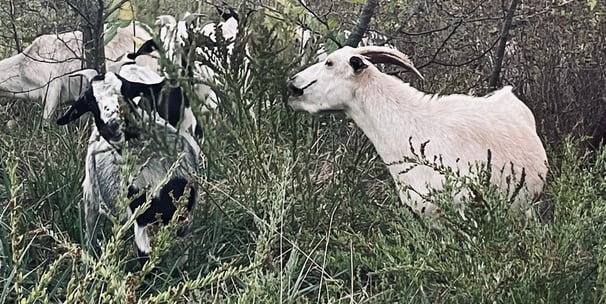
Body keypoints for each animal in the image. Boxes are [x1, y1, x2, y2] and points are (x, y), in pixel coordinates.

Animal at [56, 67, 200, 260]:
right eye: (89, 101)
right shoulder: (141, 221)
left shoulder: (185, 217)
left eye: (126, 90)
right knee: (90, 235)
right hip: (91, 195)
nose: (113, 124)